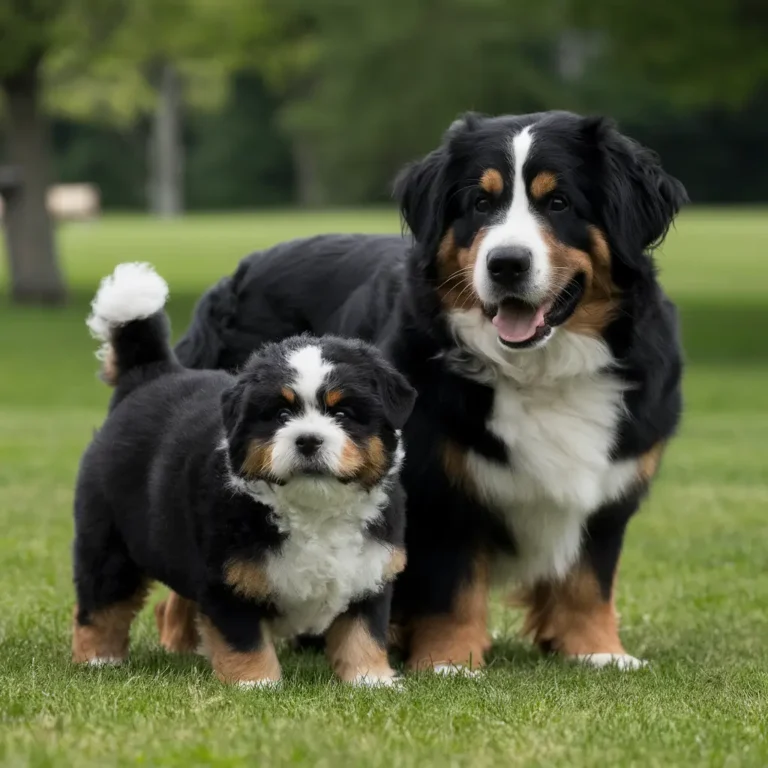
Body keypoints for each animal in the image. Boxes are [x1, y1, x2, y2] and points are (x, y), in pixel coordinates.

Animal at [72, 260, 414, 688]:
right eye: (280, 413)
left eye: (342, 413)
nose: (308, 440)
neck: (314, 512)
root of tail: (149, 374)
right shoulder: (228, 579)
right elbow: (244, 639)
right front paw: (257, 684)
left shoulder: (369, 571)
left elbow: (363, 632)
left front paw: (371, 681)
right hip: (109, 537)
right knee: (101, 599)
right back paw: (98, 659)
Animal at [172, 111, 684, 668]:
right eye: (481, 202)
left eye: (559, 202)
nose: (506, 263)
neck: (539, 373)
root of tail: (237, 273)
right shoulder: (438, 486)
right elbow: (451, 586)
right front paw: (450, 662)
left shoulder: (610, 489)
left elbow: (589, 580)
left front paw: (599, 652)